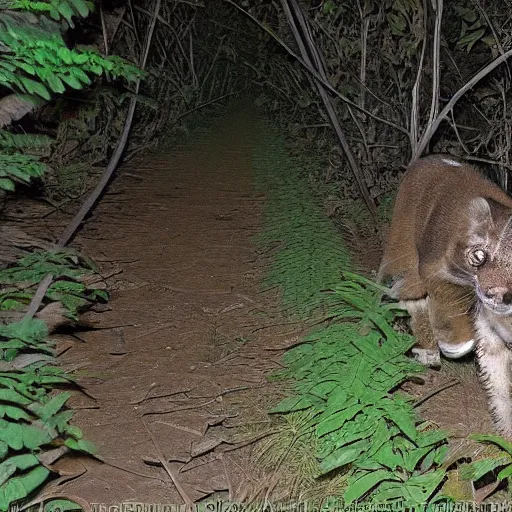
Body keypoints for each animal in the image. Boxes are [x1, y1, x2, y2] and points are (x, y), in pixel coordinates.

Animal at [380, 155, 512, 436]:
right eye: (480, 255)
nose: (492, 294)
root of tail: (431, 158)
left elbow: (501, 390)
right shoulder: (437, 269)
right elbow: (449, 297)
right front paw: (455, 343)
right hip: (404, 252)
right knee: (402, 290)